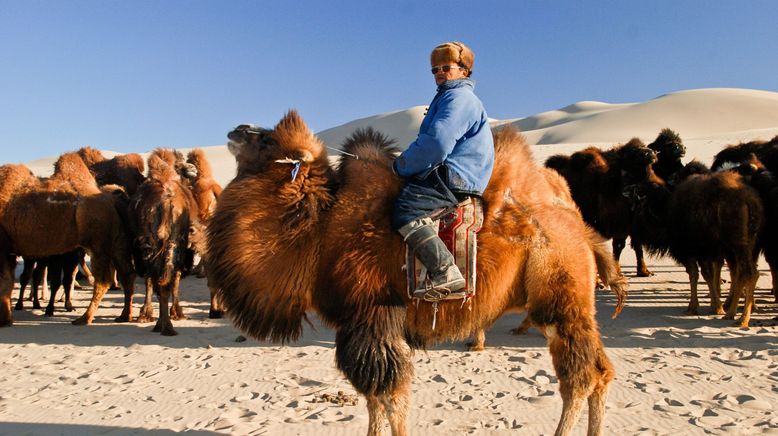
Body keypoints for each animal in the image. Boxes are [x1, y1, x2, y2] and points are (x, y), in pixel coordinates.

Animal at [0, 154, 135, 328]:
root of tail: (115, 200)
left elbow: (5, 282)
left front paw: (5, 320)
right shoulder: (9, 251)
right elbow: (8, 283)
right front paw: (7, 319)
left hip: (99, 243)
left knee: (103, 280)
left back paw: (84, 318)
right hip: (118, 242)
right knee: (127, 274)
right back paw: (124, 316)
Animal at [129, 155, 199, 336]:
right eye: (181, 166)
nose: (193, 169)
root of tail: (165, 203)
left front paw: (146, 314)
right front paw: (176, 312)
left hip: (152, 243)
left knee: (158, 279)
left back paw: (162, 325)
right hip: (171, 243)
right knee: (164, 279)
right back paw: (165, 325)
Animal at [208, 110, 620, 434]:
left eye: (267, 140)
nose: (237, 129)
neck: (319, 230)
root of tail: (575, 221)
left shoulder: (373, 317)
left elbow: (390, 397)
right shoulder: (365, 325)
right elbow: (376, 399)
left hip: (559, 299)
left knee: (580, 378)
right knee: (601, 372)